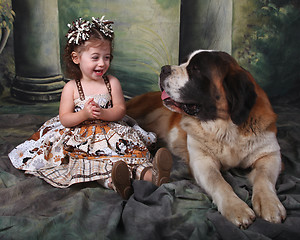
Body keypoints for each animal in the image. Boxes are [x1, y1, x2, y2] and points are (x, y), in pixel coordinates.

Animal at [126, 49, 286, 228]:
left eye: (195, 69)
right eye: (184, 62)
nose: (164, 69)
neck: (223, 125)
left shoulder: (270, 154)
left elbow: (264, 177)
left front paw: (270, 204)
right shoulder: (202, 160)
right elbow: (218, 181)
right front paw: (236, 208)